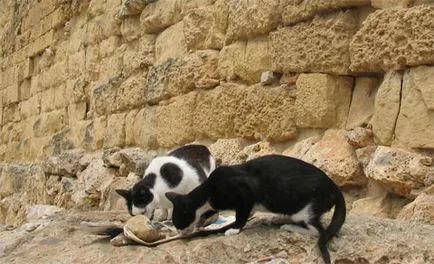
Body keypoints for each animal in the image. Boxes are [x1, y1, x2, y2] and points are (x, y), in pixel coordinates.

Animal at [166, 155, 346, 264]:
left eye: (178, 223)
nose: (180, 233)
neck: (208, 193)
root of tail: (335, 188)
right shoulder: (247, 206)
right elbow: (244, 214)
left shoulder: (244, 194)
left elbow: (240, 216)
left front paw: (234, 229)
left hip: (303, 210)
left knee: (318, 230)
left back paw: (288, 226)